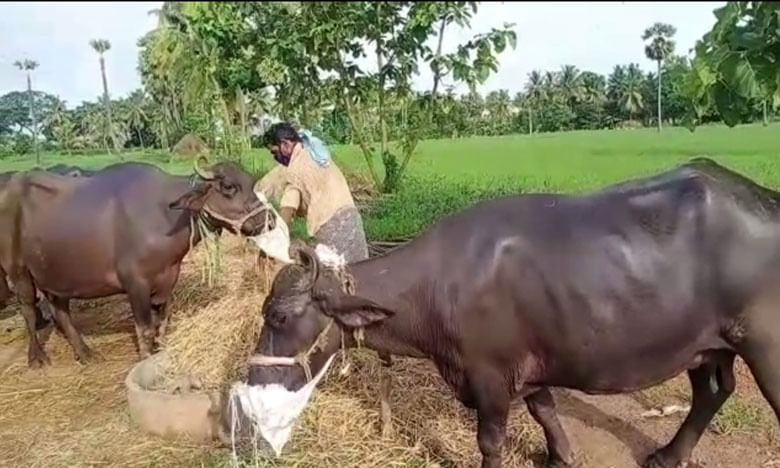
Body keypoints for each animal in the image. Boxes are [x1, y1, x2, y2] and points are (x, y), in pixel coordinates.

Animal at [0, 159, 274, 368]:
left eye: (251, 182)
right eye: (228, 186)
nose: (269, 221)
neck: (166, 214)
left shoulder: (167, 281)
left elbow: (162, 324)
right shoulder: (136, 285)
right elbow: (145, 329)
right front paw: (145, 357)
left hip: (55, 275)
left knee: (60, 310)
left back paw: (84, 352)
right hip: (17, 269)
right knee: (28, 309)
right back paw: (36, 357)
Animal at [248, 157, 780, 468]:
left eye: (279, 318)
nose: (254, 380)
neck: (436, 287)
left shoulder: (488, 375)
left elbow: (490, 440)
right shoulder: (529, 365)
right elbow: (544, 409)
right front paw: (561, 456)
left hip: (764, 347)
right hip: (704, 345)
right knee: (713, 391)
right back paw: (669, 456)